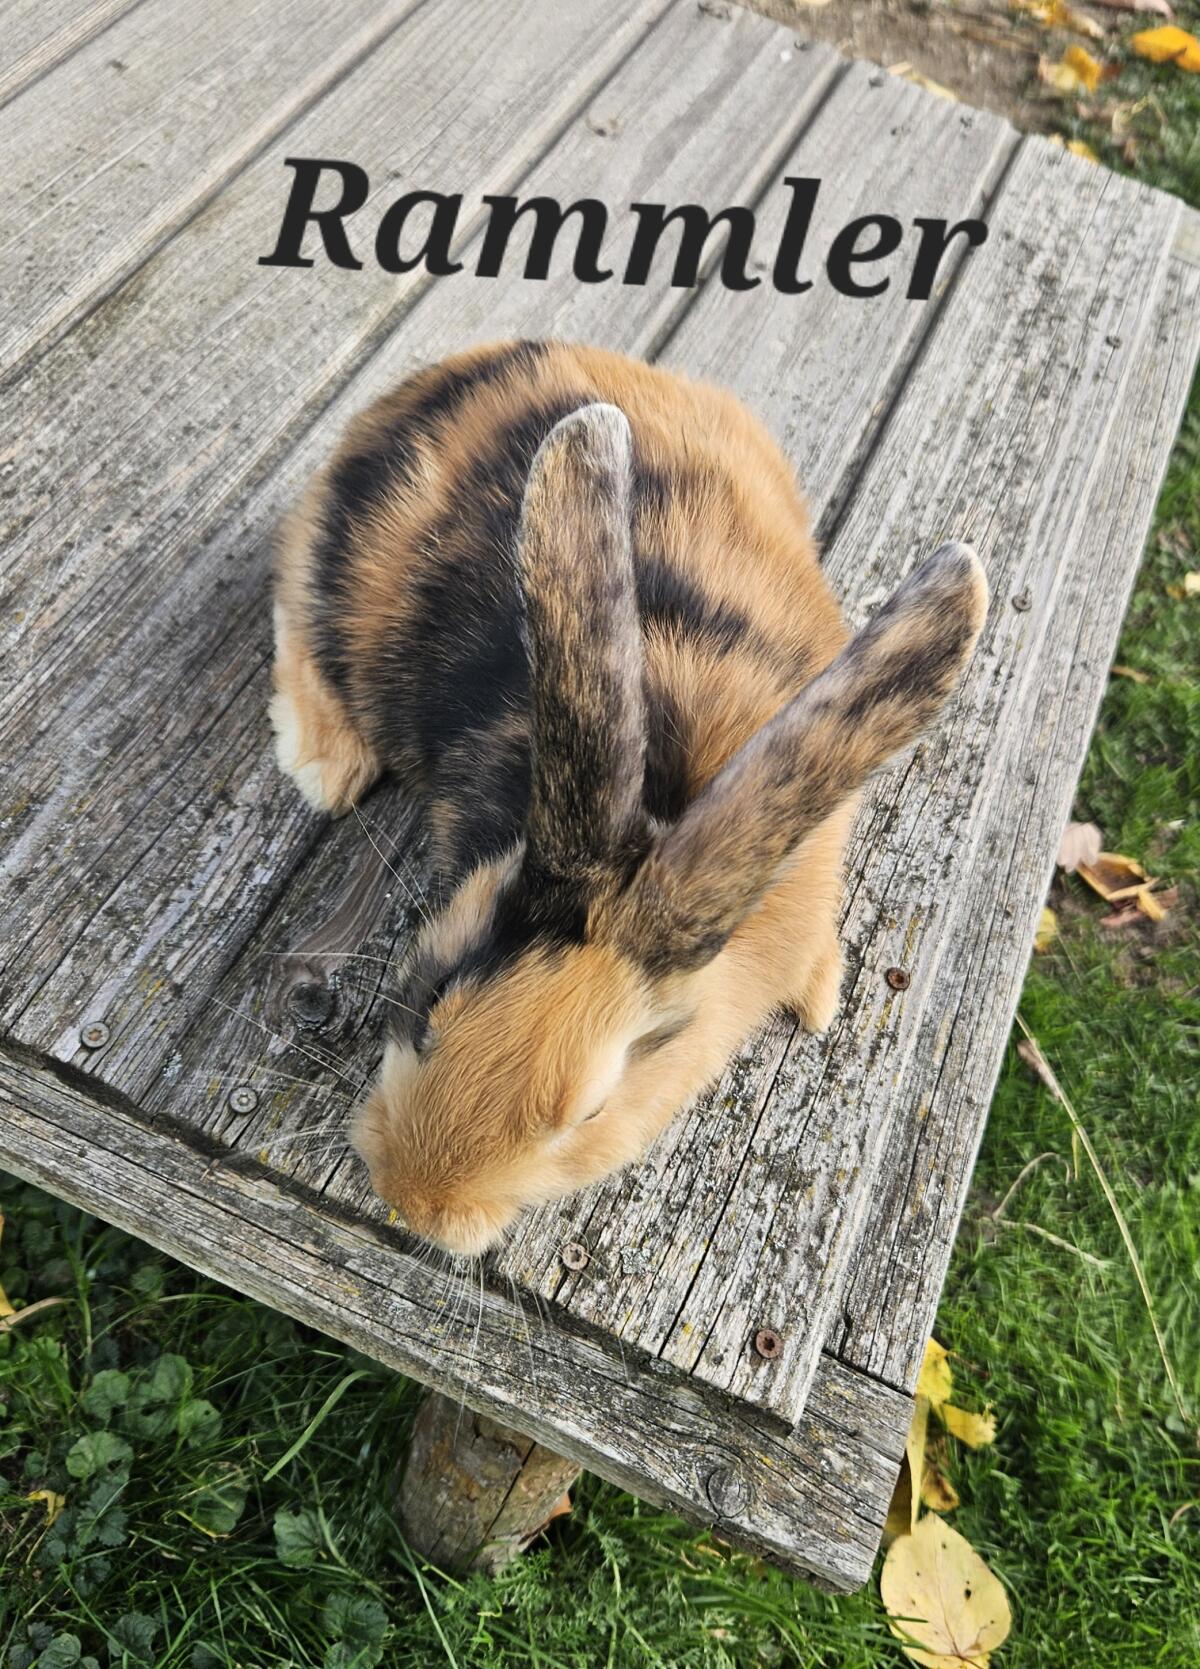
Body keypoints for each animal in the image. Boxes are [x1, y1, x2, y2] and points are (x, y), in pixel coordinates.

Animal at [270, 339, 987, 1257]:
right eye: (429, 998)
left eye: (592, 1111)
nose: (414, 1198)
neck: (673, 800)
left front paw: (823, 1000)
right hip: (336, 550)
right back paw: (324, 766)